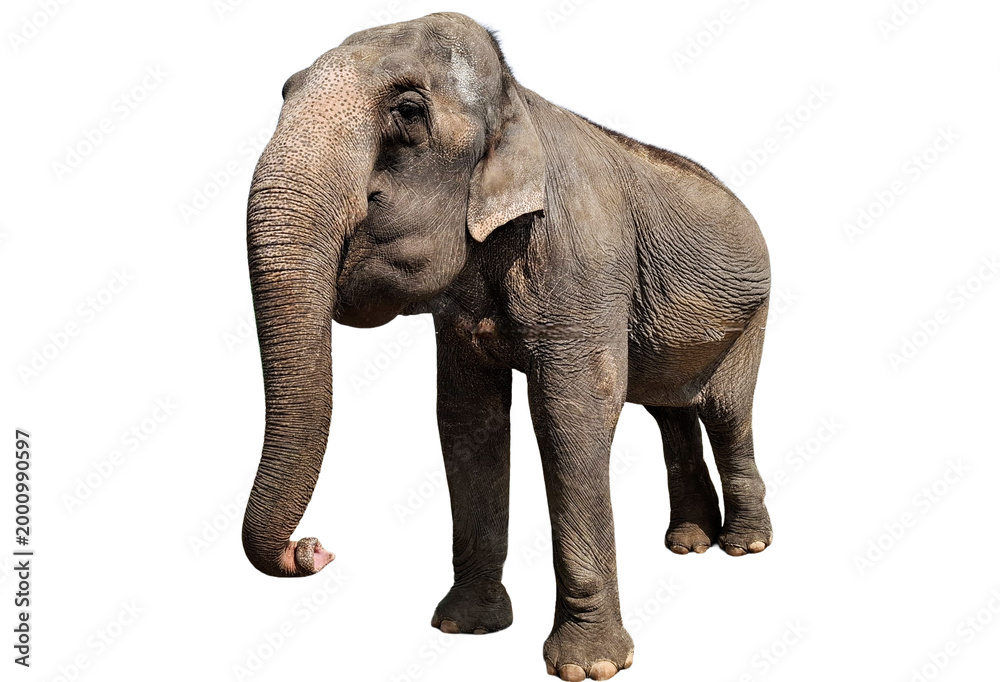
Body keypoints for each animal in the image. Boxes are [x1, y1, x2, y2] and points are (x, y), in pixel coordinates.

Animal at [242, 12, 771, 681]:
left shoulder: (582, 260)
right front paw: (465, 627)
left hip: (751, 319)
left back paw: (746, 546)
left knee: (726, 413)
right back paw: (689, 544)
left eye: (409, 112)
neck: (517, 99)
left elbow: (572, 415)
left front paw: (590, 667)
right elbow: (469, 420)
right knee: (670, 414)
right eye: (284, 91)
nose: (312, 549)